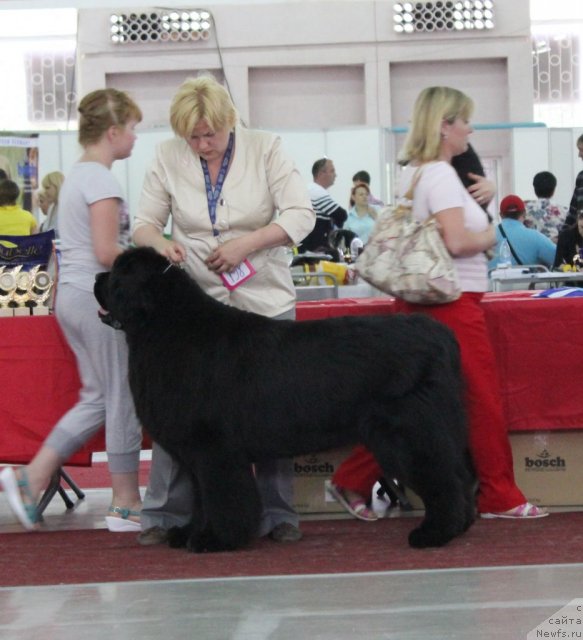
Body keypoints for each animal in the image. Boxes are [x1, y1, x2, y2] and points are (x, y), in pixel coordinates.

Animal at [96, 248, 476, 552]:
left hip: (408, 432)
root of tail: (440, 335)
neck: (165, 326)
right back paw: (462, 525)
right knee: (460, 474)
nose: (98, 277)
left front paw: (214, 539)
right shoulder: (196, 453)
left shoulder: (213, 450)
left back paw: (434, 534)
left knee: (443, 479)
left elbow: (221, 496)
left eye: (120, 273)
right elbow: (200, 497)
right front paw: (190, 533)